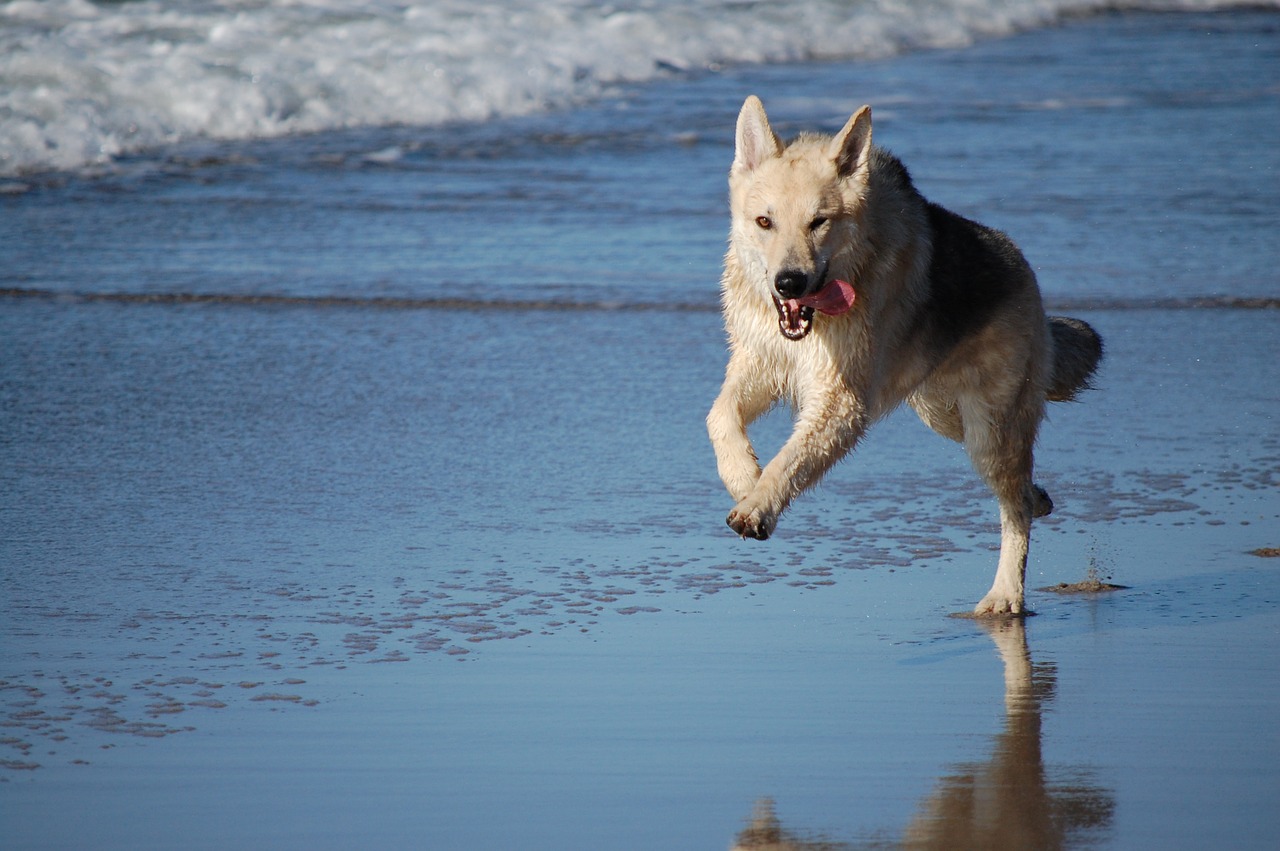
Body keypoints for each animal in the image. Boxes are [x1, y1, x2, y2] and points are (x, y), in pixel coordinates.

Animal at [706, 97, 1105, 616]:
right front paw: (743, 478)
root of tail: (1025, 273)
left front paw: (758, 505)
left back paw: (1005, 595)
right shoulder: (760, 364)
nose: (789, 282)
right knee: (1022, 485)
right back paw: (1038, 499)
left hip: (987, 432)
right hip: (941, 413)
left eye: (819, 222)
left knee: (1013, 505)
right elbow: (720, 417)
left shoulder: (842, 403)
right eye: (764, 222)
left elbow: (789, 460)